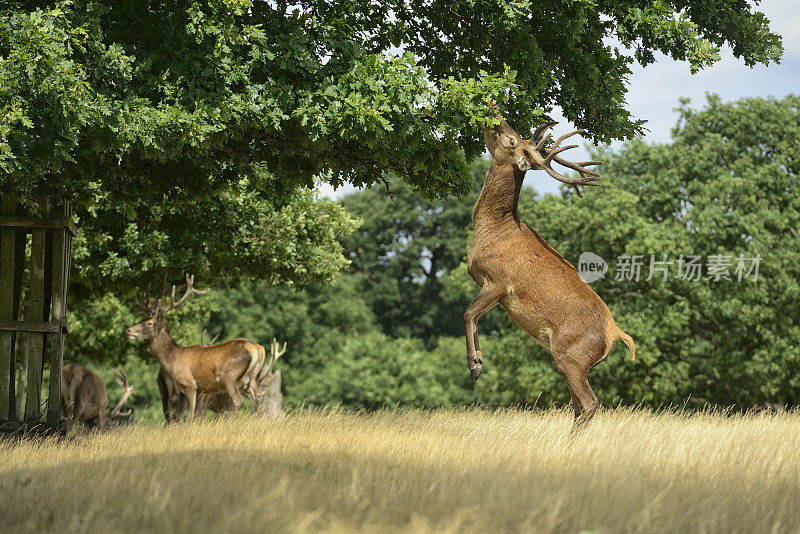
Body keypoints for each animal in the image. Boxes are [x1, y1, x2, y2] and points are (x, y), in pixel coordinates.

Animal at [126, 276, 266, 422]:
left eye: (149, 323)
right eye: (142, 318)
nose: (128, 330)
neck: (172, 359)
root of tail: (257, 349)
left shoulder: (190, 384)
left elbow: (190, 415)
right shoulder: (197, 389)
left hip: (230, 377)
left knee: (238, 401)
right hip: (254, 378)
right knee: (257, 402)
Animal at [466, 118, 636, 432]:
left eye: (511, 139)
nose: (495, 114)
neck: (493, 231)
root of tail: (615, 334)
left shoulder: (498, 281)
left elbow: (468, 313)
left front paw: (475, 365)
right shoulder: (493, 291)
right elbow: (474, 316)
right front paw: (478, 363)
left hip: (570, 357)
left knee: (589, 403)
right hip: (577, 363)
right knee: (579, 406)